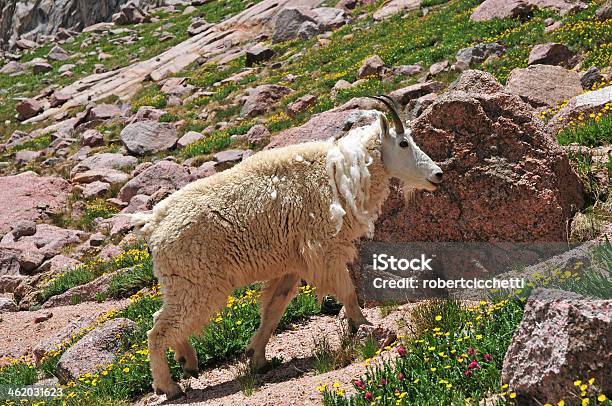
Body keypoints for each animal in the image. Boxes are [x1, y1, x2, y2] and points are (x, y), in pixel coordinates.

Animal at [131, 96, 442, 398]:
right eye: (403, 143)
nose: (438, 174)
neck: (343, 172)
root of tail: (153, 224)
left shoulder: (292, 264)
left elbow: (273, 310)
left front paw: (256, 357)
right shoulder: (324, 250)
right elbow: (348, 292)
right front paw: (363, 325)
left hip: (184, 284)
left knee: (163, 320)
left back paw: (188, 362)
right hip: (195, 282)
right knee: (158, 330)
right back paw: (168, 386)